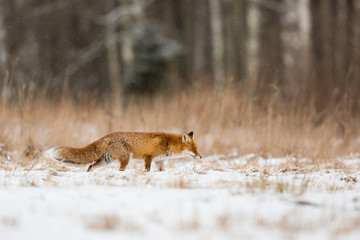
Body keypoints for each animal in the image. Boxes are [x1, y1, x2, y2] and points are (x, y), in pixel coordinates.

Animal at [43, 132, 201, 172]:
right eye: (194, 149)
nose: (200, 156)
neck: (168, 143)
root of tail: (109, 134)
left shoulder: (159, 160)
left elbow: (161, 171)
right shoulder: (148, 156)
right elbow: (147, 170)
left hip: (107, 160)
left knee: (90, 166)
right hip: (126, 158)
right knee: (120, 169)